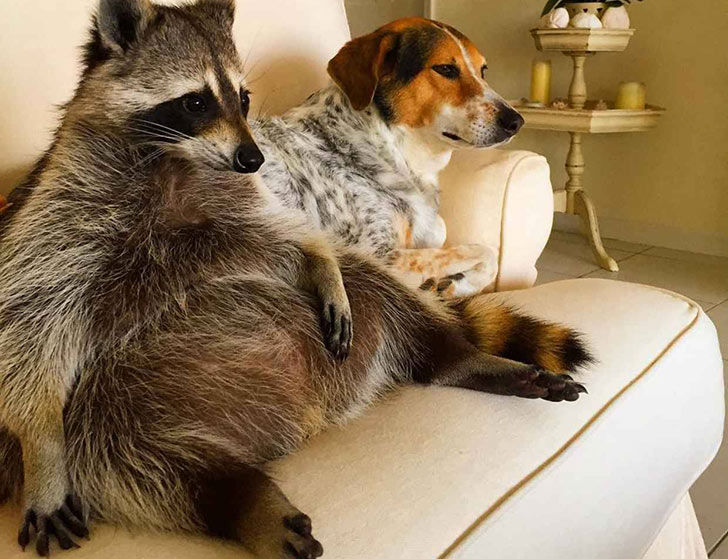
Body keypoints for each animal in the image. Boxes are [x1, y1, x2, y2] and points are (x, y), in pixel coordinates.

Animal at [0, 1, 591, 557]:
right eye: (445, 69)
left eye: (483, 69)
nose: (514, 119)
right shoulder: (377, 250)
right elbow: (475, 251)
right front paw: (454, 283)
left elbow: (477, 255)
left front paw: (457, 285)